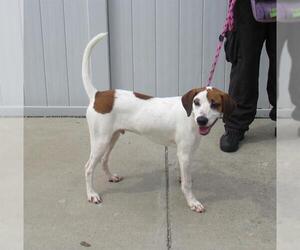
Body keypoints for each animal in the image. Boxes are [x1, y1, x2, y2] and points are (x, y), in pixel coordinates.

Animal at [82, 32, 237, 213]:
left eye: (215, 104)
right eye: (196, 102)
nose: (202, 120)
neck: (190, 116)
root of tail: (97, 95)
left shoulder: (185, 153)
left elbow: (184, 174)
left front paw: (182, 179)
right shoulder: (184, 153)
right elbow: (187, 184)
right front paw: (192, 201)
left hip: (111, 138)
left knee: (104, 160)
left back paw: (111, 177)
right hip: (101, 140)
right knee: (88, 168)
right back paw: (91, 194)